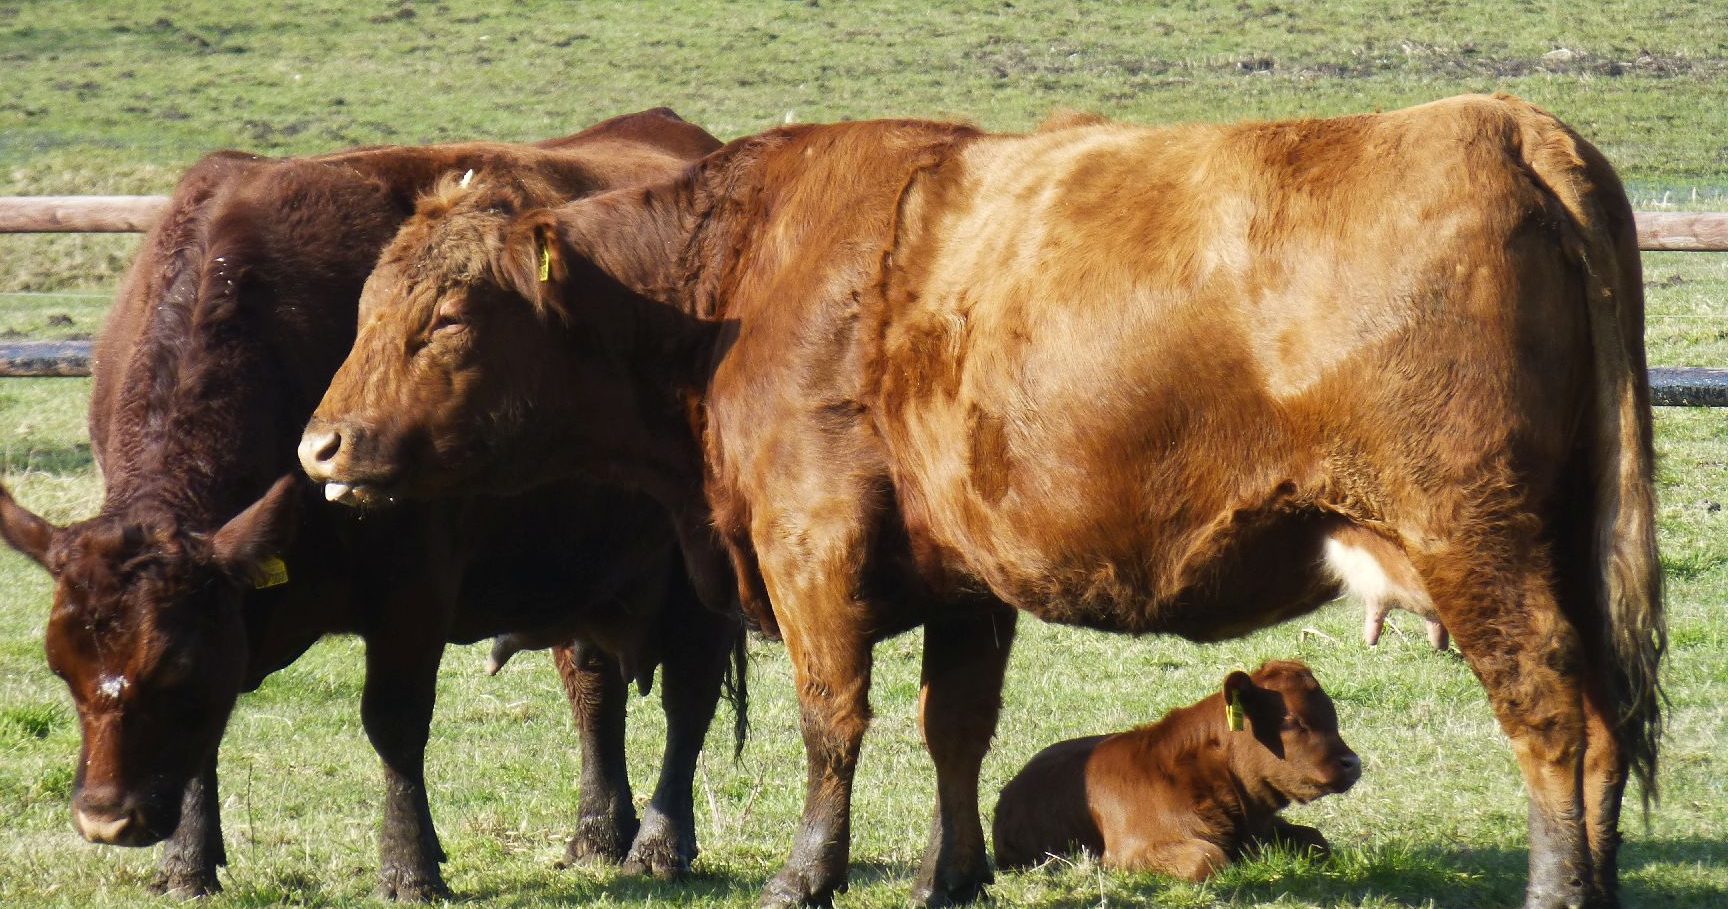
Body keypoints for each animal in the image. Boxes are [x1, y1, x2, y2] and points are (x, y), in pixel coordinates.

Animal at [0, 110, 739, 898]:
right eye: (62, 669)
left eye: (176, 667)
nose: (107, 818)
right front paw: (187, 864)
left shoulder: (413, 588)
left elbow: (394, 722)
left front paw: (409, 867)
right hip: (579, 569)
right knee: (594, 687)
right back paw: (598, 833)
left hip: (697, 575)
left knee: (688, 693)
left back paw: (659, 842)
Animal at [995, 663, 1354, 884]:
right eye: (1291, 721)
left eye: (1331, 713)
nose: (1352, 762)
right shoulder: (1131, 850)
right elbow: (1208, 859)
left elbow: (1316, 839)